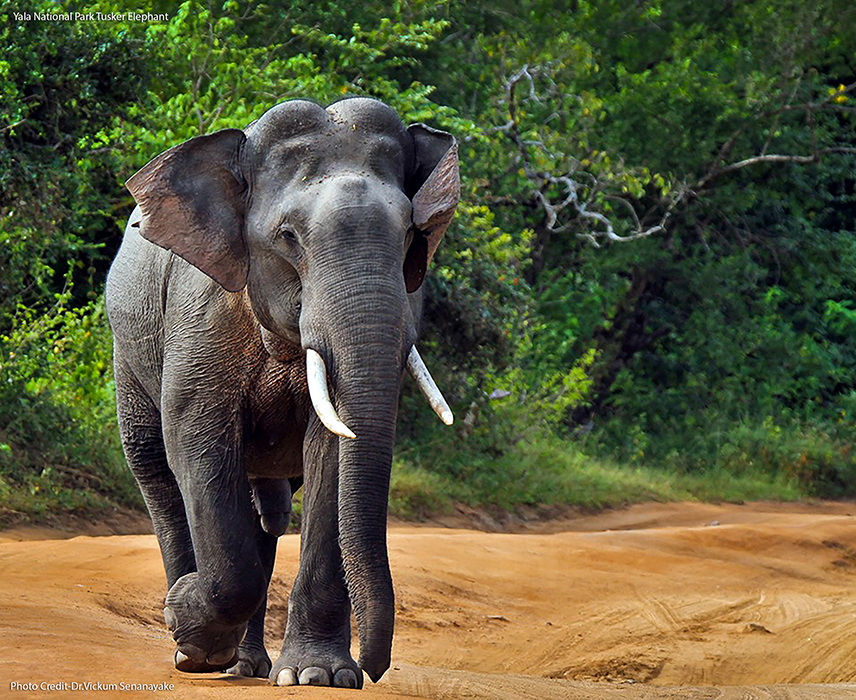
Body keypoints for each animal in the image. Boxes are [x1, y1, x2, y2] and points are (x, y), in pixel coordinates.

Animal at [106, 97, 458, 688]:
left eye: (411, 235)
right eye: (289, 236)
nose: (375, 668)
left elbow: (333, 453)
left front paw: (319, 676)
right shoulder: (200, 316)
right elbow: (195, 441)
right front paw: (186, 623)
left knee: (267, 510)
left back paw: (245, 664)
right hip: (127, 357)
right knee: (157, 471)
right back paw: (194, 650)